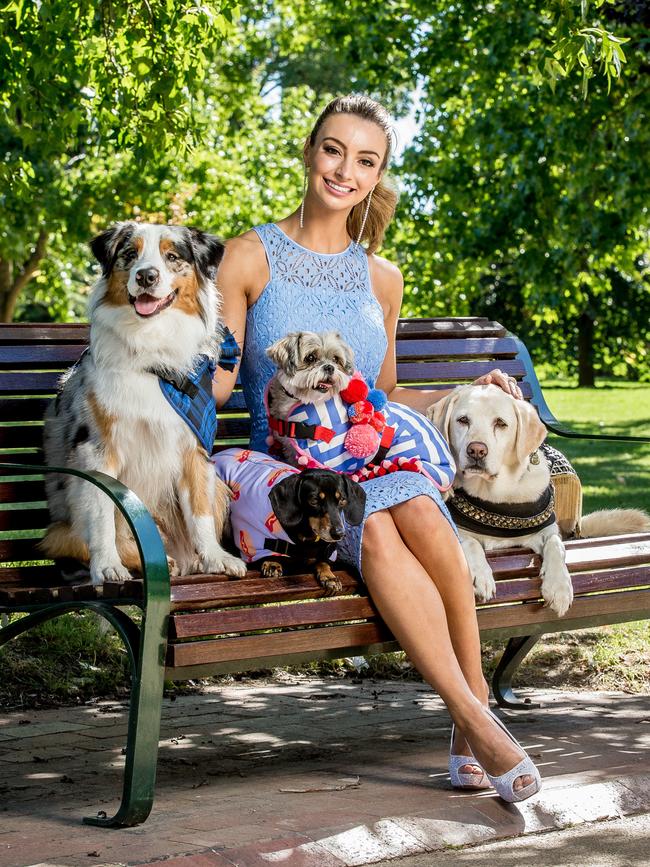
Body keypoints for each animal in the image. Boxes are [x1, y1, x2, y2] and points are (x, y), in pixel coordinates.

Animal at [41, 225, 246, 584]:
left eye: (172, 256)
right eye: (130, 254)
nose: (146, 276)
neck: (151, 347)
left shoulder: (193, 446)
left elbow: (200, 512)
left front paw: (216, 557)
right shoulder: (97, 450)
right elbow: (102, 516)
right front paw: (108, 565)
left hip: (219, 486)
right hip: (65, 527)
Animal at [428, 384, 644, 616]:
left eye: (500, 423)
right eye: (463, 420)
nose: (476, 450)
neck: (496, 495)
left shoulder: (547, 531)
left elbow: (556, 545)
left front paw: (559, 588)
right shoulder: (456, 530)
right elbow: (471, 542)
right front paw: (481, 576)